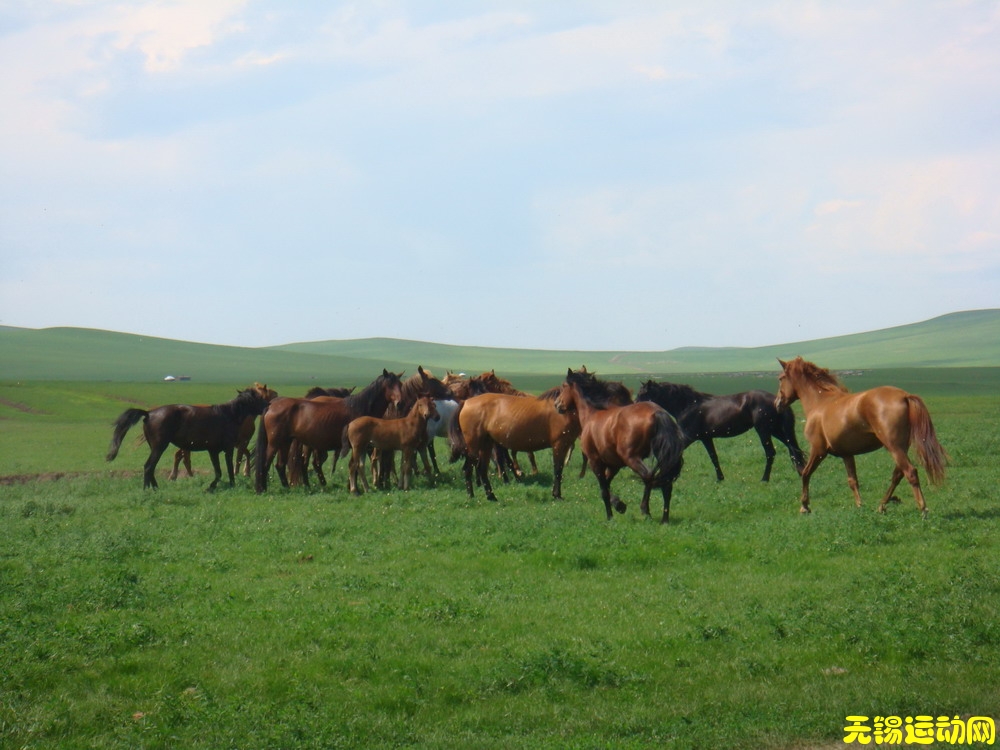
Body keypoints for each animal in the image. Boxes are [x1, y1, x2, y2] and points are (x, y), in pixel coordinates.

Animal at [107, 388, 272, 494]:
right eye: (258, 398)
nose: (268, 406)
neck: (229, 415)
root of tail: (148, 414)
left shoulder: (213, 451)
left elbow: (218, 471)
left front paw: (211, 487)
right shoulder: (228, 449)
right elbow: (229, 468)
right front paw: (231, 485)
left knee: (151, 467)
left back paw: (155, 488)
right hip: (159, 447)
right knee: (148, 467)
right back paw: (147, 490)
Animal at [256, 370, 404, 494]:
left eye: (400, 384)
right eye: (389, 385)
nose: (400, 403)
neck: (360, 407)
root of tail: (271, 405)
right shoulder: (357, 446)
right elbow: (355, 466)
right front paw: (354, 489)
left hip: (285, 442)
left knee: (280, 465)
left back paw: (288, 488)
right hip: (274, 443)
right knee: (265, 464)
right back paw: (262, 489)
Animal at [556, 368, 688, 524]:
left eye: (564, 386)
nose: (557, 405)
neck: (592, 414)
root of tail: (658, 412)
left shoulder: (595, 461)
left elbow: (604, 490)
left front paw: (611, 515)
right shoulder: (614, 465)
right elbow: (607, 484)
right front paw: (619, 505)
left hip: (631, 458)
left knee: (648, 476)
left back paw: (645, 510)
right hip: (662, 456)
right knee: (667, 485)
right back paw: (664, 519)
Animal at [636, 382, 808, 482]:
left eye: (643, 393)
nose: (634, 406)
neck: (687, 405)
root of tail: (776, 400)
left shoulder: (688, 436)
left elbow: (670, 453)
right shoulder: (705, 438)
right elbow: (714, 457)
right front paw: (720, 478)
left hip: (764, 430)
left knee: (771, 452)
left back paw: (764, 479)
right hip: (777, 430)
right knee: (793, 449)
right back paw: (800, 472)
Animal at [772, 358, 944, 516]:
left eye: (780, 378)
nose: (777, 404)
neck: (820, 403)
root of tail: (905, 396)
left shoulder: (818, 450)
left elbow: (805, 473)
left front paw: (805, 506)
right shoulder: (846, 454)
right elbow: (852, 481)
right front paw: (859, 505)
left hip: (894, 447)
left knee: (910, 472)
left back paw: (923, 509)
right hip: (901, 447)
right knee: (898, 474)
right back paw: (882, 505)